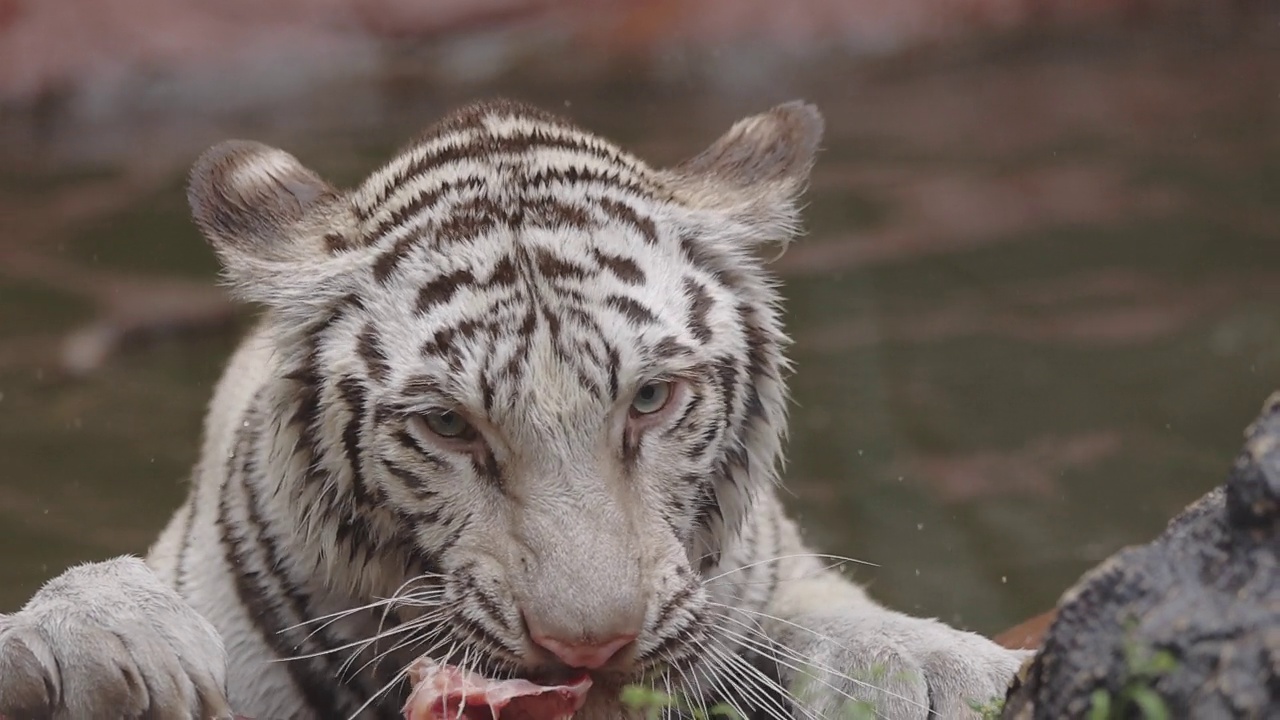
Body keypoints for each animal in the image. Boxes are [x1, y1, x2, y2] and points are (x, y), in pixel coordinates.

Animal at [0, 98, 1024, 712]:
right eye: (450, 426)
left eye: (651, 400)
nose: (590, 650)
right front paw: (101, 644)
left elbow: (829, 615)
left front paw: (930, 671)